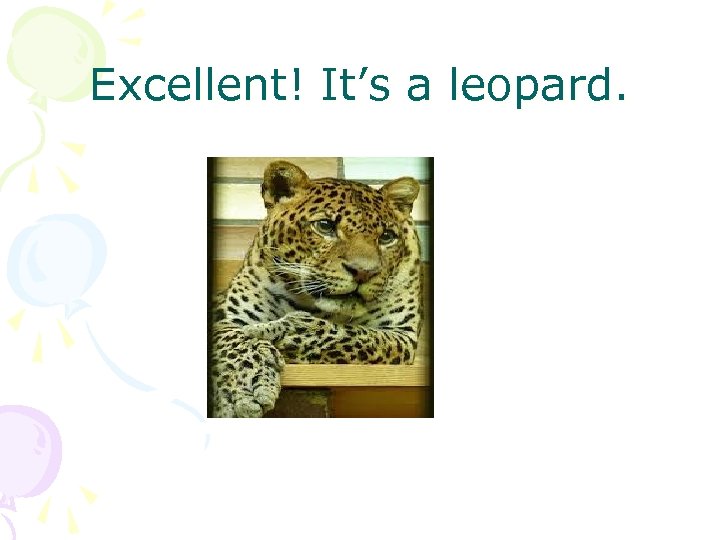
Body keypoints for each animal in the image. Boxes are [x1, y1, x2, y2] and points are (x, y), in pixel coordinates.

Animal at [210, 160, 423, 417]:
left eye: (387, 237)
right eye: (325, 226)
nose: (363, 272)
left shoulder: (401, 334)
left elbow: (347, 335)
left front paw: (279, 331)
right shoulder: (230, 318)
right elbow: (232, 338)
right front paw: (243, 387)